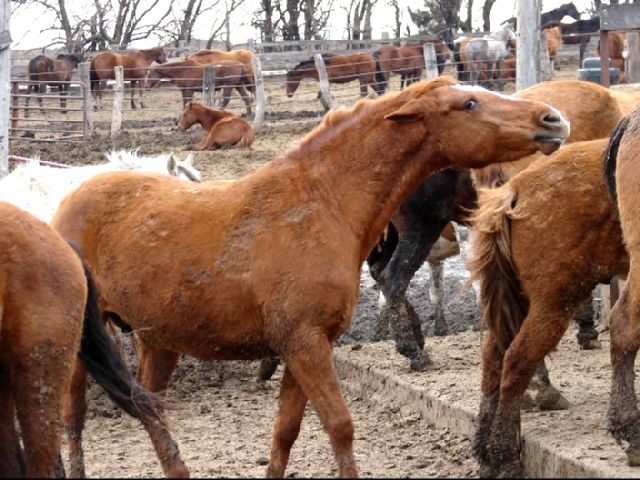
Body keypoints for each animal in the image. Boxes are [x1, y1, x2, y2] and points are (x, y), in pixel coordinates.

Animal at [50, 78, 568, 476]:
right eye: (469, 104)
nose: (553, 120)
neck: (320, 205)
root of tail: (68, 202)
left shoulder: (302, 348)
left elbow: (286, 433)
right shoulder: (305, 345)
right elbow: (340, 426)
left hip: (158, 342)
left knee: (152, 415)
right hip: (83, 348)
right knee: (72, 418)